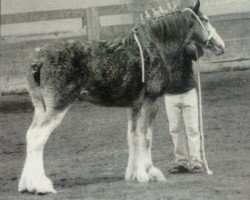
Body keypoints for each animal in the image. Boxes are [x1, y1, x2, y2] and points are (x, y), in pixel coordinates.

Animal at [17, 0, 225, 194]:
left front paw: (134, 174)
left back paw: (26, 185)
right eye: (205, 20)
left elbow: (133, 136)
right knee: (37, 137)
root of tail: (38, 59)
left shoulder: (134, 106)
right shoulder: (151, 101)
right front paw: (148, 173)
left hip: (41, 108)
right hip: (58, 107)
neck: (154, 47)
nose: (221, 45)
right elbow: (146, 136)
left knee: (30, 134)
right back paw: (41, 186)